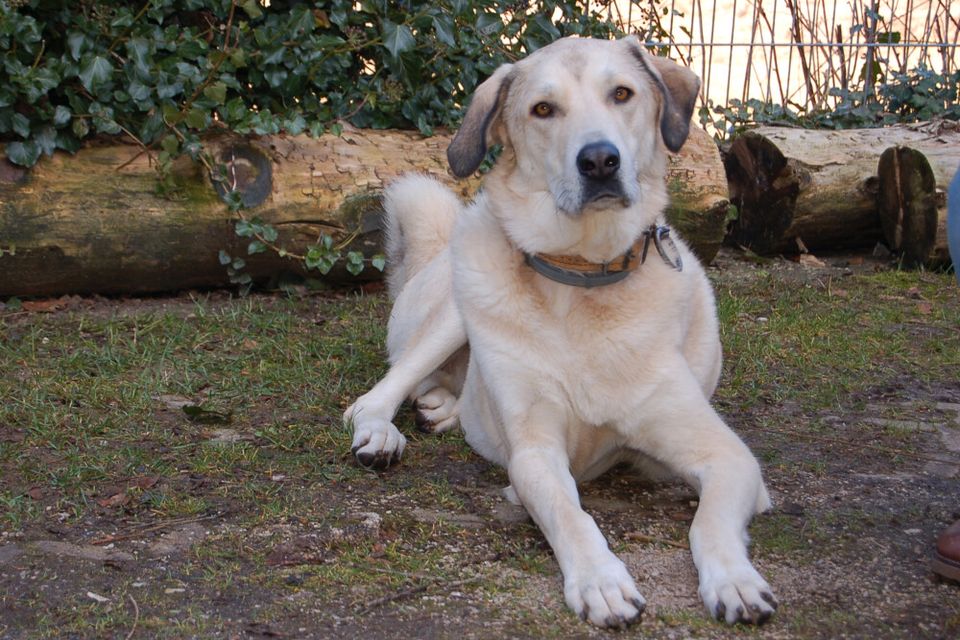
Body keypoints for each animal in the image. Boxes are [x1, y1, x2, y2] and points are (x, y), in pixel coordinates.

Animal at [344, 33, 780, 624]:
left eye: (622, 94)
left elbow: (708, 520)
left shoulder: (728, 456)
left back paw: (445, 409)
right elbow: (570, 513)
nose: (598, 160)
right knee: (379, 392)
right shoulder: (535, 454)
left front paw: (734, 580)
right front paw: (601, 580)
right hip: (456, 304)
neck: (583, 279)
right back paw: (383, 434)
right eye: (543, 109)